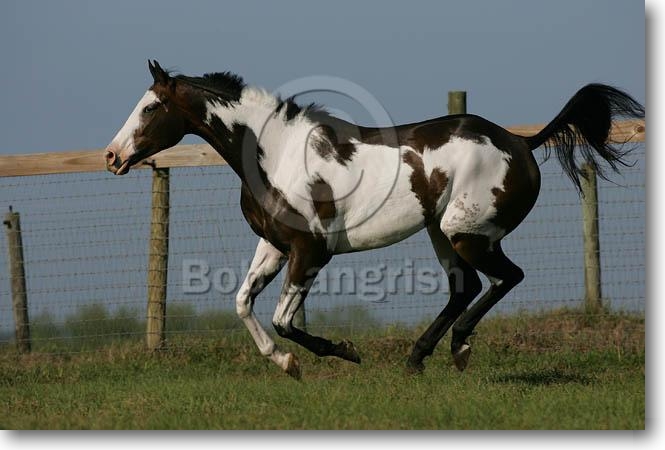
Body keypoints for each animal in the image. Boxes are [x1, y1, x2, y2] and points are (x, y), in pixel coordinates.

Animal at [105, 60, 644, 379]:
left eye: (151, 107)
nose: (112, 156)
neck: (275, 152)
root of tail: (520, 143)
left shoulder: (311, 251)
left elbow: (285, 320)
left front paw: (343, 352)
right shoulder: (275, 245)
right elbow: (242, 304)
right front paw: (285, 363)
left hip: (466, 234)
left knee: (504, 278)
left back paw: (459, 348)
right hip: (442, 234)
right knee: (467, 287)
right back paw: (419, 357)